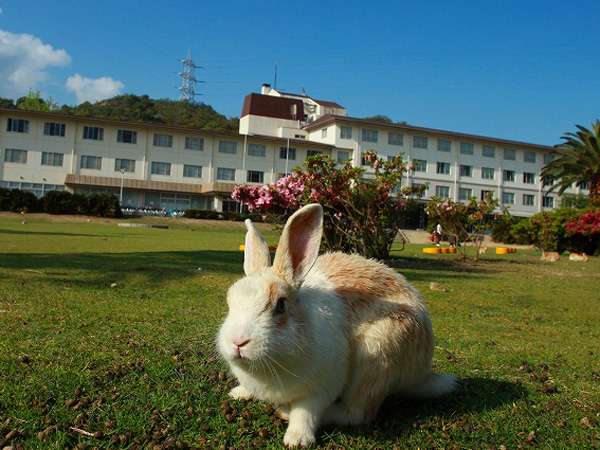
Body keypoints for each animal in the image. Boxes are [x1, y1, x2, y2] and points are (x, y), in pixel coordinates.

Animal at [218, 204, 458, 446]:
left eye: (281, 305)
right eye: (230, 300)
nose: (238, 342)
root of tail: (421, 373)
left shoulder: (320, 389)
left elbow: (306, 412)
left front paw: (297, 439)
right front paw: (239, 392)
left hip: (377, 359)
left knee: (358, 413)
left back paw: (293, 412)